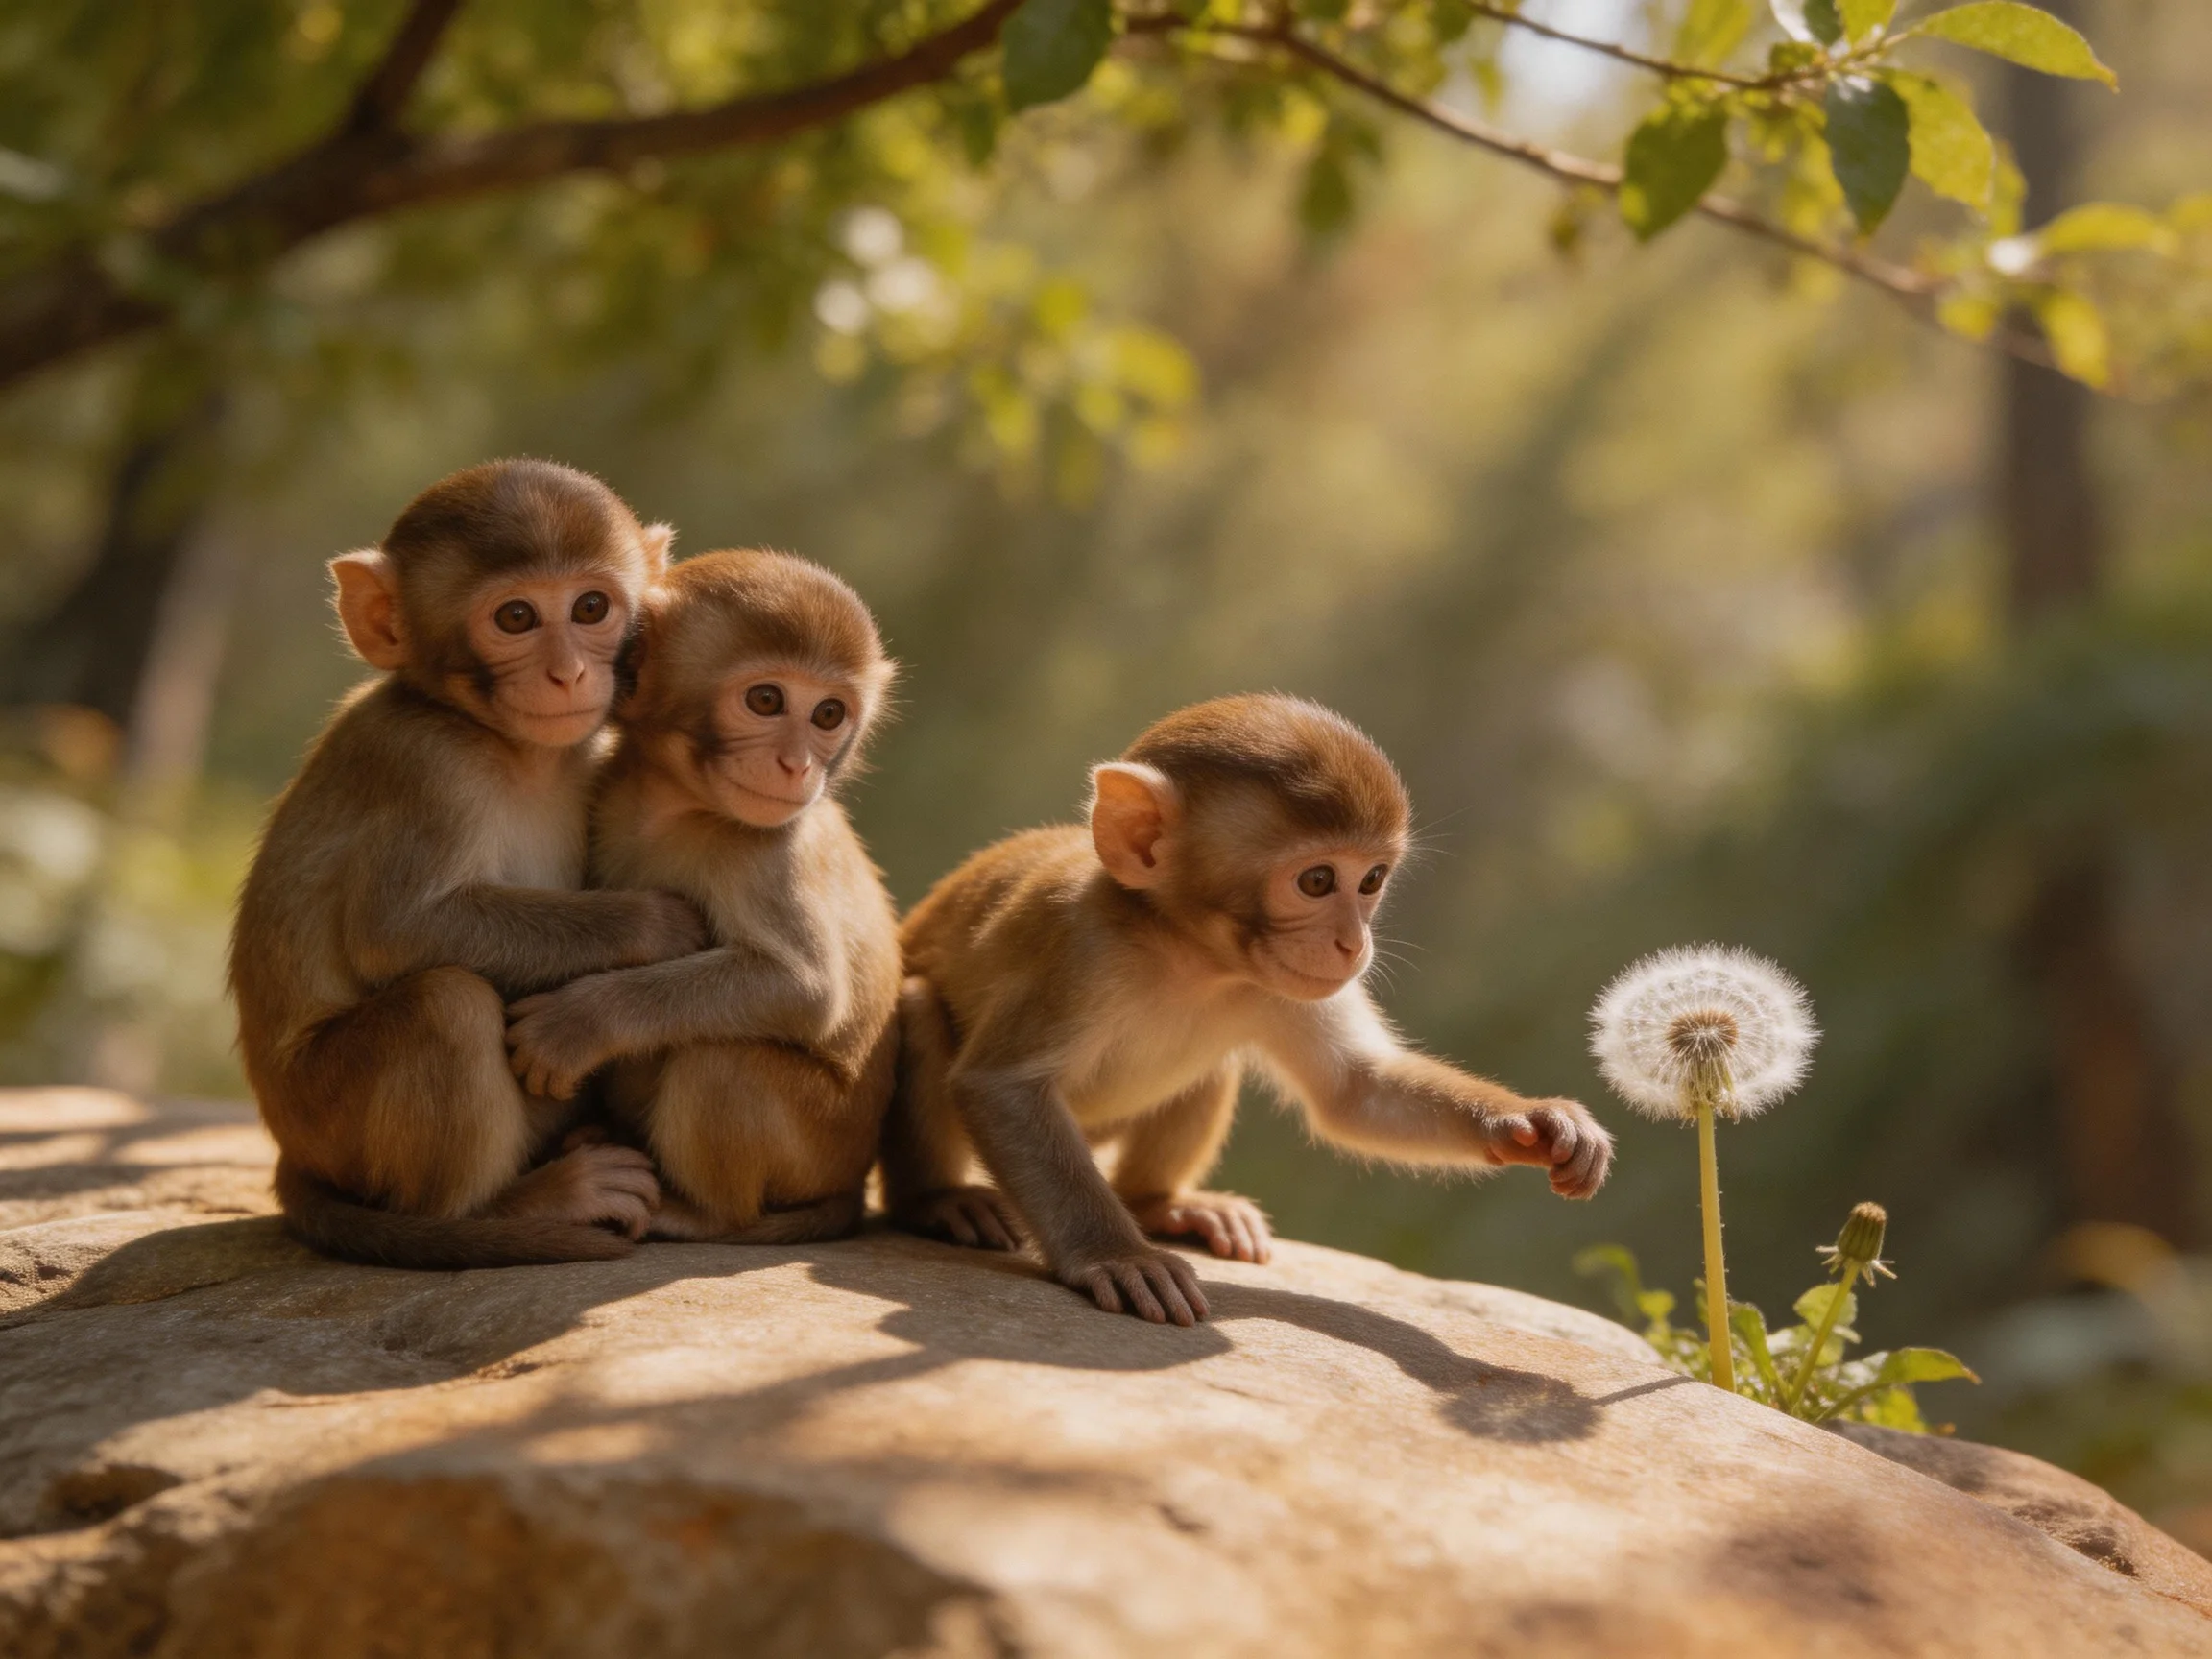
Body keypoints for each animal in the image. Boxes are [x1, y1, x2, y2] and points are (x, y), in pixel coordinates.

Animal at [230, 458, 712, 1270]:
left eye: (590, 607)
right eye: (516, 618)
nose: (567, 674)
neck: (498, 741)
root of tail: (289, 1145)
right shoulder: (424, 767)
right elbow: (396, 931)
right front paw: (658, 927)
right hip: (328, 1121)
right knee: (446, 1004)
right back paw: (512, 1208)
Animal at [499, 548, 902, 1244]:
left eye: (828, 714)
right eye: (766, 699)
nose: (798, 766)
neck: (677, 805)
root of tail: (850, 1178)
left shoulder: (766, 850)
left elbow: (801, 986)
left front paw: (580, 1022)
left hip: (820, 1142)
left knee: (719, 1059)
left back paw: (698, 1213)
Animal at [883, 694, 1615, 1325]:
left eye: (1372, 879)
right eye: (1317, 880)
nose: (1354, 943)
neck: (1185, 951)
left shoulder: (1279, 986)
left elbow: (1356, 1090)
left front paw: (1536, 1123)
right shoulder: (1077, 945)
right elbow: (1003, 1088)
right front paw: (1115, 1256)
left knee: (1211, 1071)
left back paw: (1163, 1206)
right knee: (919, 1008)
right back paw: (940, 1200)